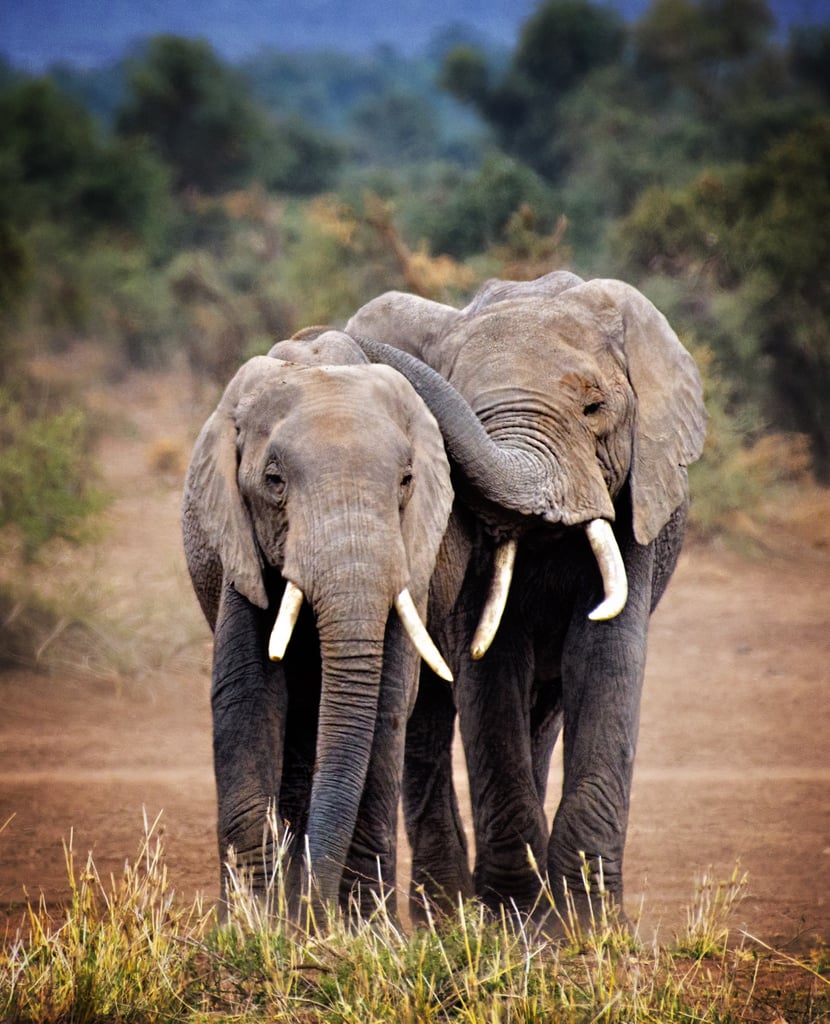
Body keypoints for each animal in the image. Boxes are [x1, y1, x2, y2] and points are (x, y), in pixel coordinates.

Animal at [182, 331, 454, 917]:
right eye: (274, 482)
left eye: (406, 481)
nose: (315, 911)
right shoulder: (240, 543)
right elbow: (247, 693)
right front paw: (252, 925)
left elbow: (387, 701)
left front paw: (363, 929)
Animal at [345, 272, 708, 929]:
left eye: (594, 409)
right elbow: (491, 667)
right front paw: (513, 916)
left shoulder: (634, 497)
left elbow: (606, 659)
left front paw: (584, 924)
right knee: (428, 720)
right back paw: (447, 913)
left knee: (544, 712)